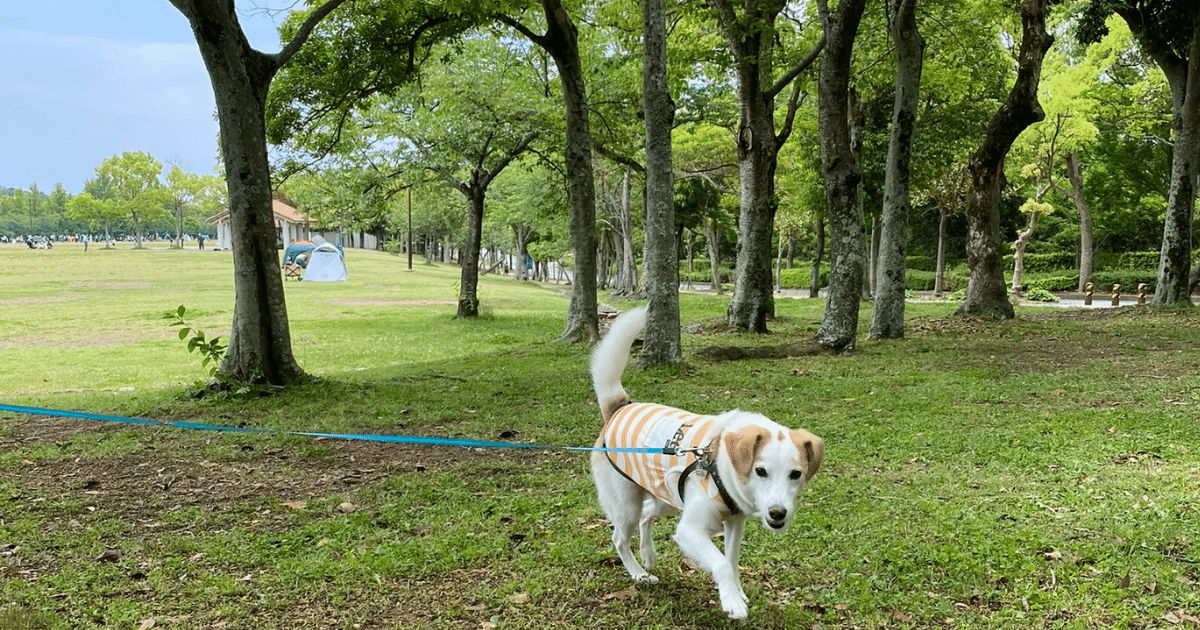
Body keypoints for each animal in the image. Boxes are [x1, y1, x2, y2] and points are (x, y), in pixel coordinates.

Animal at [592, 306, 825, 619]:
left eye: (796, 474)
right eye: (760, 471)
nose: (778, 514)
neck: (722, 466)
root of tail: (619, 408)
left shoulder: (734, 523)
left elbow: (733, 560)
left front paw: (736, 591)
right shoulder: (690, 531)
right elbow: (722, 563)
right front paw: (732, 602)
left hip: (666, 496)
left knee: (646, 516)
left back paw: (648, 555)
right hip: (626, 503)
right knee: (620, 537)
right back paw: (638, 572)